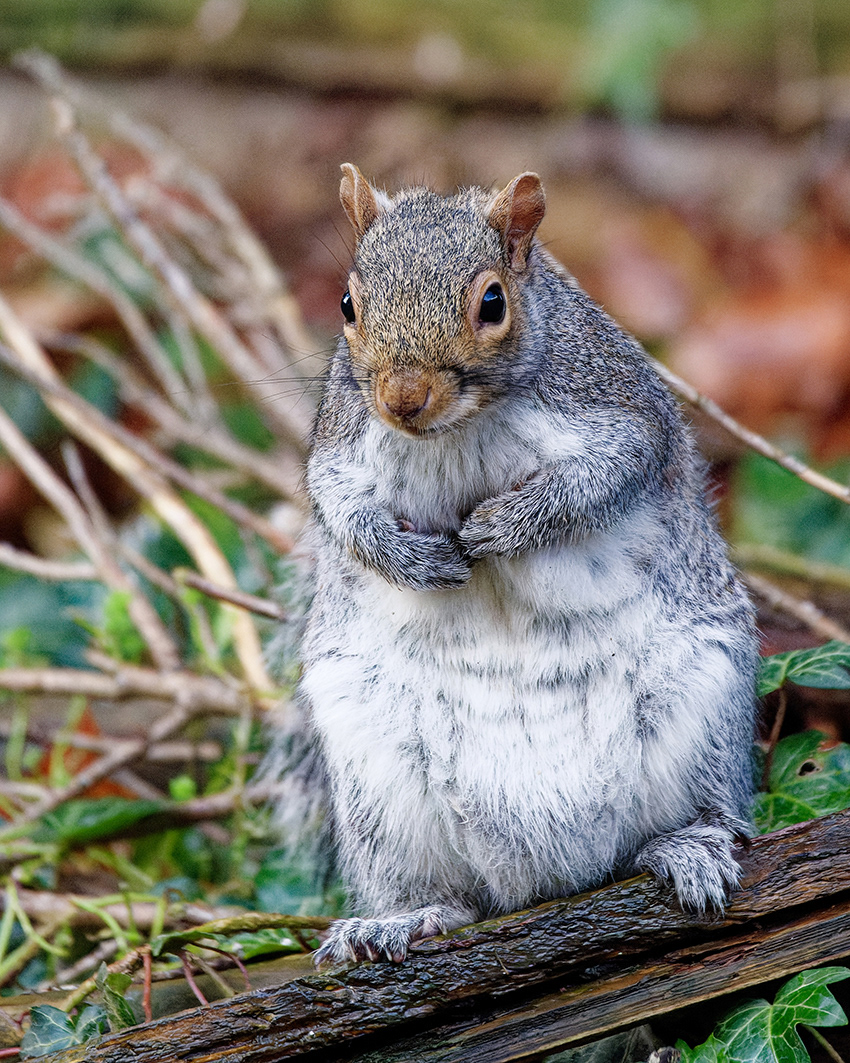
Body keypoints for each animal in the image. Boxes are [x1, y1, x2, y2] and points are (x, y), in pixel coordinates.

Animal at [273, 164, 758, 966]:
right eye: (348, 304)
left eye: (492, 302)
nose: (402, 400)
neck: (458, 427)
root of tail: (553, 877)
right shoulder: (342, 446)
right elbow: (343, 513)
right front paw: (411, 556)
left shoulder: (616, 406)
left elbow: (603, 477)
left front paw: (505, 525)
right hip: (381, 786)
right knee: (456, 897)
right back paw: (400, 920)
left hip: (701, 706)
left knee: (698, 819)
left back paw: (689, 847)